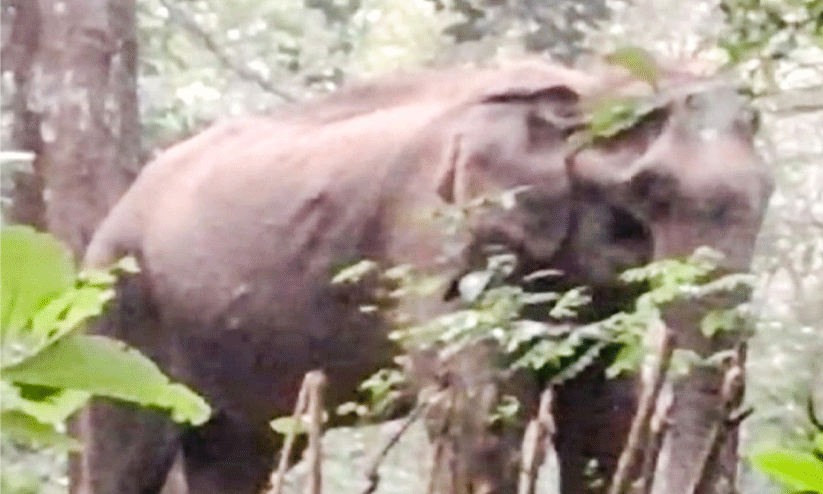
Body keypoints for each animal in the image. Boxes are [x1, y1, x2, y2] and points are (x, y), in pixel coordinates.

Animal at [71, 59, 774, 494]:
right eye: (651, 190)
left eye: (769, 193)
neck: (578, 84)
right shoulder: (434, 238)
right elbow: (480, 413)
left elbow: (604, 416)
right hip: (122, 316)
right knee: (124, 457)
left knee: (238, 459)